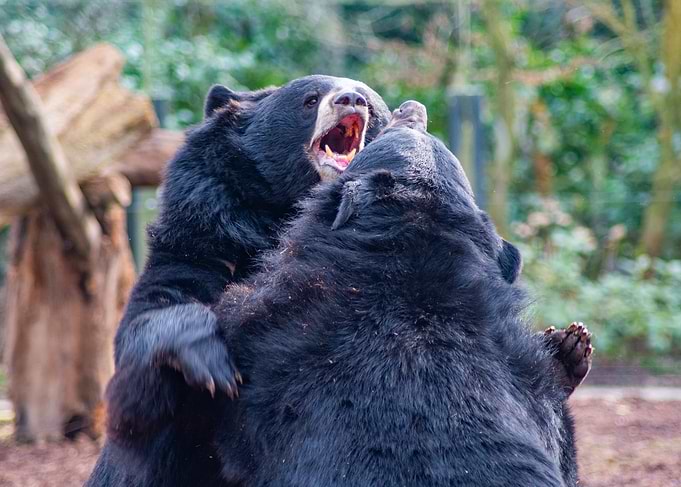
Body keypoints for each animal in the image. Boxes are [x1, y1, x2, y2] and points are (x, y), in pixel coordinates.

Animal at [86, 76, 392, 487]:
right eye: (310, 100)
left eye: (370, 104)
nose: (352, 100)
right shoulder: (204, 230)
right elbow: (149, 322)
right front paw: (214, 366)